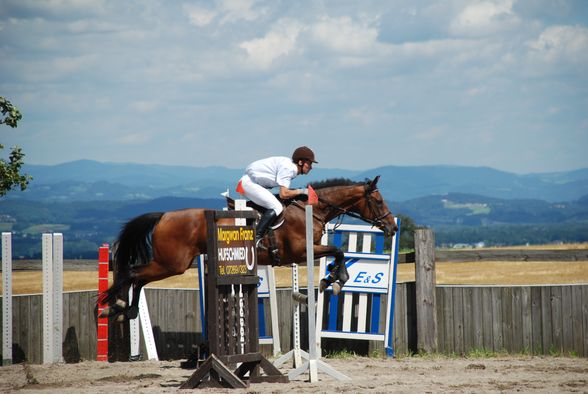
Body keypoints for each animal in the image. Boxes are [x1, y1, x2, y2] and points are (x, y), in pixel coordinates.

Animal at [99, 175, 398, 320]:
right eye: (378, 201)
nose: (393, 227)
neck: (311, 209)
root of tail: (163, 216)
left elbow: (338, 254)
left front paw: (330, 279)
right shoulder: (301, 252)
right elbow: (338, 252)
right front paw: (336, 280)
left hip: (171, 263)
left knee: (138, 277)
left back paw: (126, 310)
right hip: (173, 263)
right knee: (134, 274)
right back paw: (116, 307)